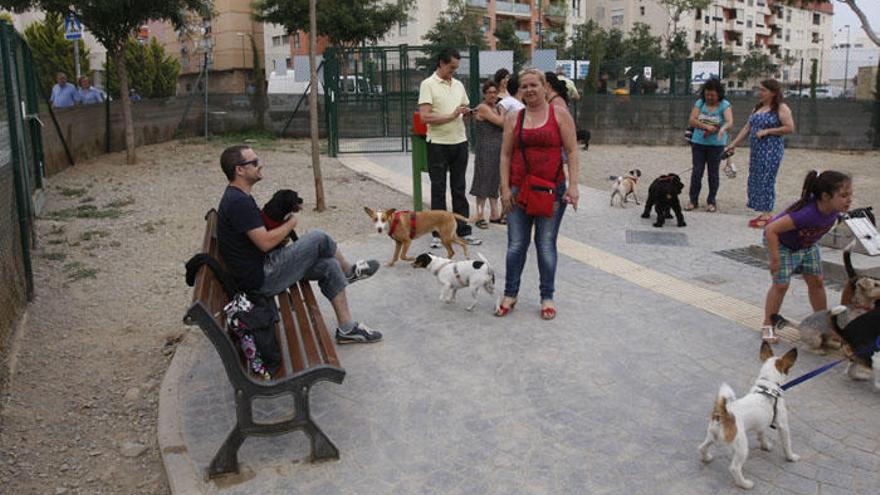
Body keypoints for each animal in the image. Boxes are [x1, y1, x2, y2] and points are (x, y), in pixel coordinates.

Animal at [700, 342, 796, 490]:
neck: (768, 386)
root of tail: (724, 414)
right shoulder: (783, 426)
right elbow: (787, 444)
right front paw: (791, 457)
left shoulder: (762, 424)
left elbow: (762, 436)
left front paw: (765, 446)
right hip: (741, 447)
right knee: (734, 468)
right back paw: (745, 484)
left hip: (712, 435)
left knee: (702, 447)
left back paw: (706, 458)